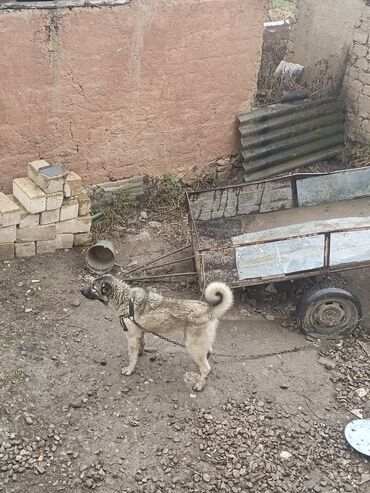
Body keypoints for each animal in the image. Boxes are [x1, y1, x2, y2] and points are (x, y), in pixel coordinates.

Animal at [81, 274, 233, 390]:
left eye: (94, 287)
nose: (81, 290)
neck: (125, 299)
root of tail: (209, 310)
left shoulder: (131, 337)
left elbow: (131, 357)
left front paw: (130, 369)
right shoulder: (140, 333)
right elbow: (141, 346)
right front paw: (140, 353)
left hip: (192, 344)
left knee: (207, 368)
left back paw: (200, 385)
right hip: (198, 344)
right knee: (208, 353)